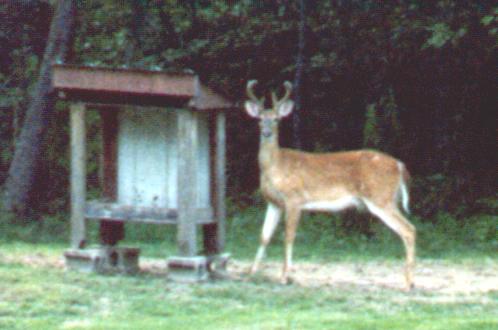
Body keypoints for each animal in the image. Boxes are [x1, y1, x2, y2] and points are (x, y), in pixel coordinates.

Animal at [245, 80, 416, 292]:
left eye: (276, 119)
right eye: (259, 119)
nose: (266, 132)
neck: (276, 166)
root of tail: (399, 165)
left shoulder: (294, 199)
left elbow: (289, 236)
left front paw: (285, 277)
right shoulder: (274, 202)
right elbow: (264, 236)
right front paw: (251, 273)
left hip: (380, 198)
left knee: (408, 229)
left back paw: (408, 284)